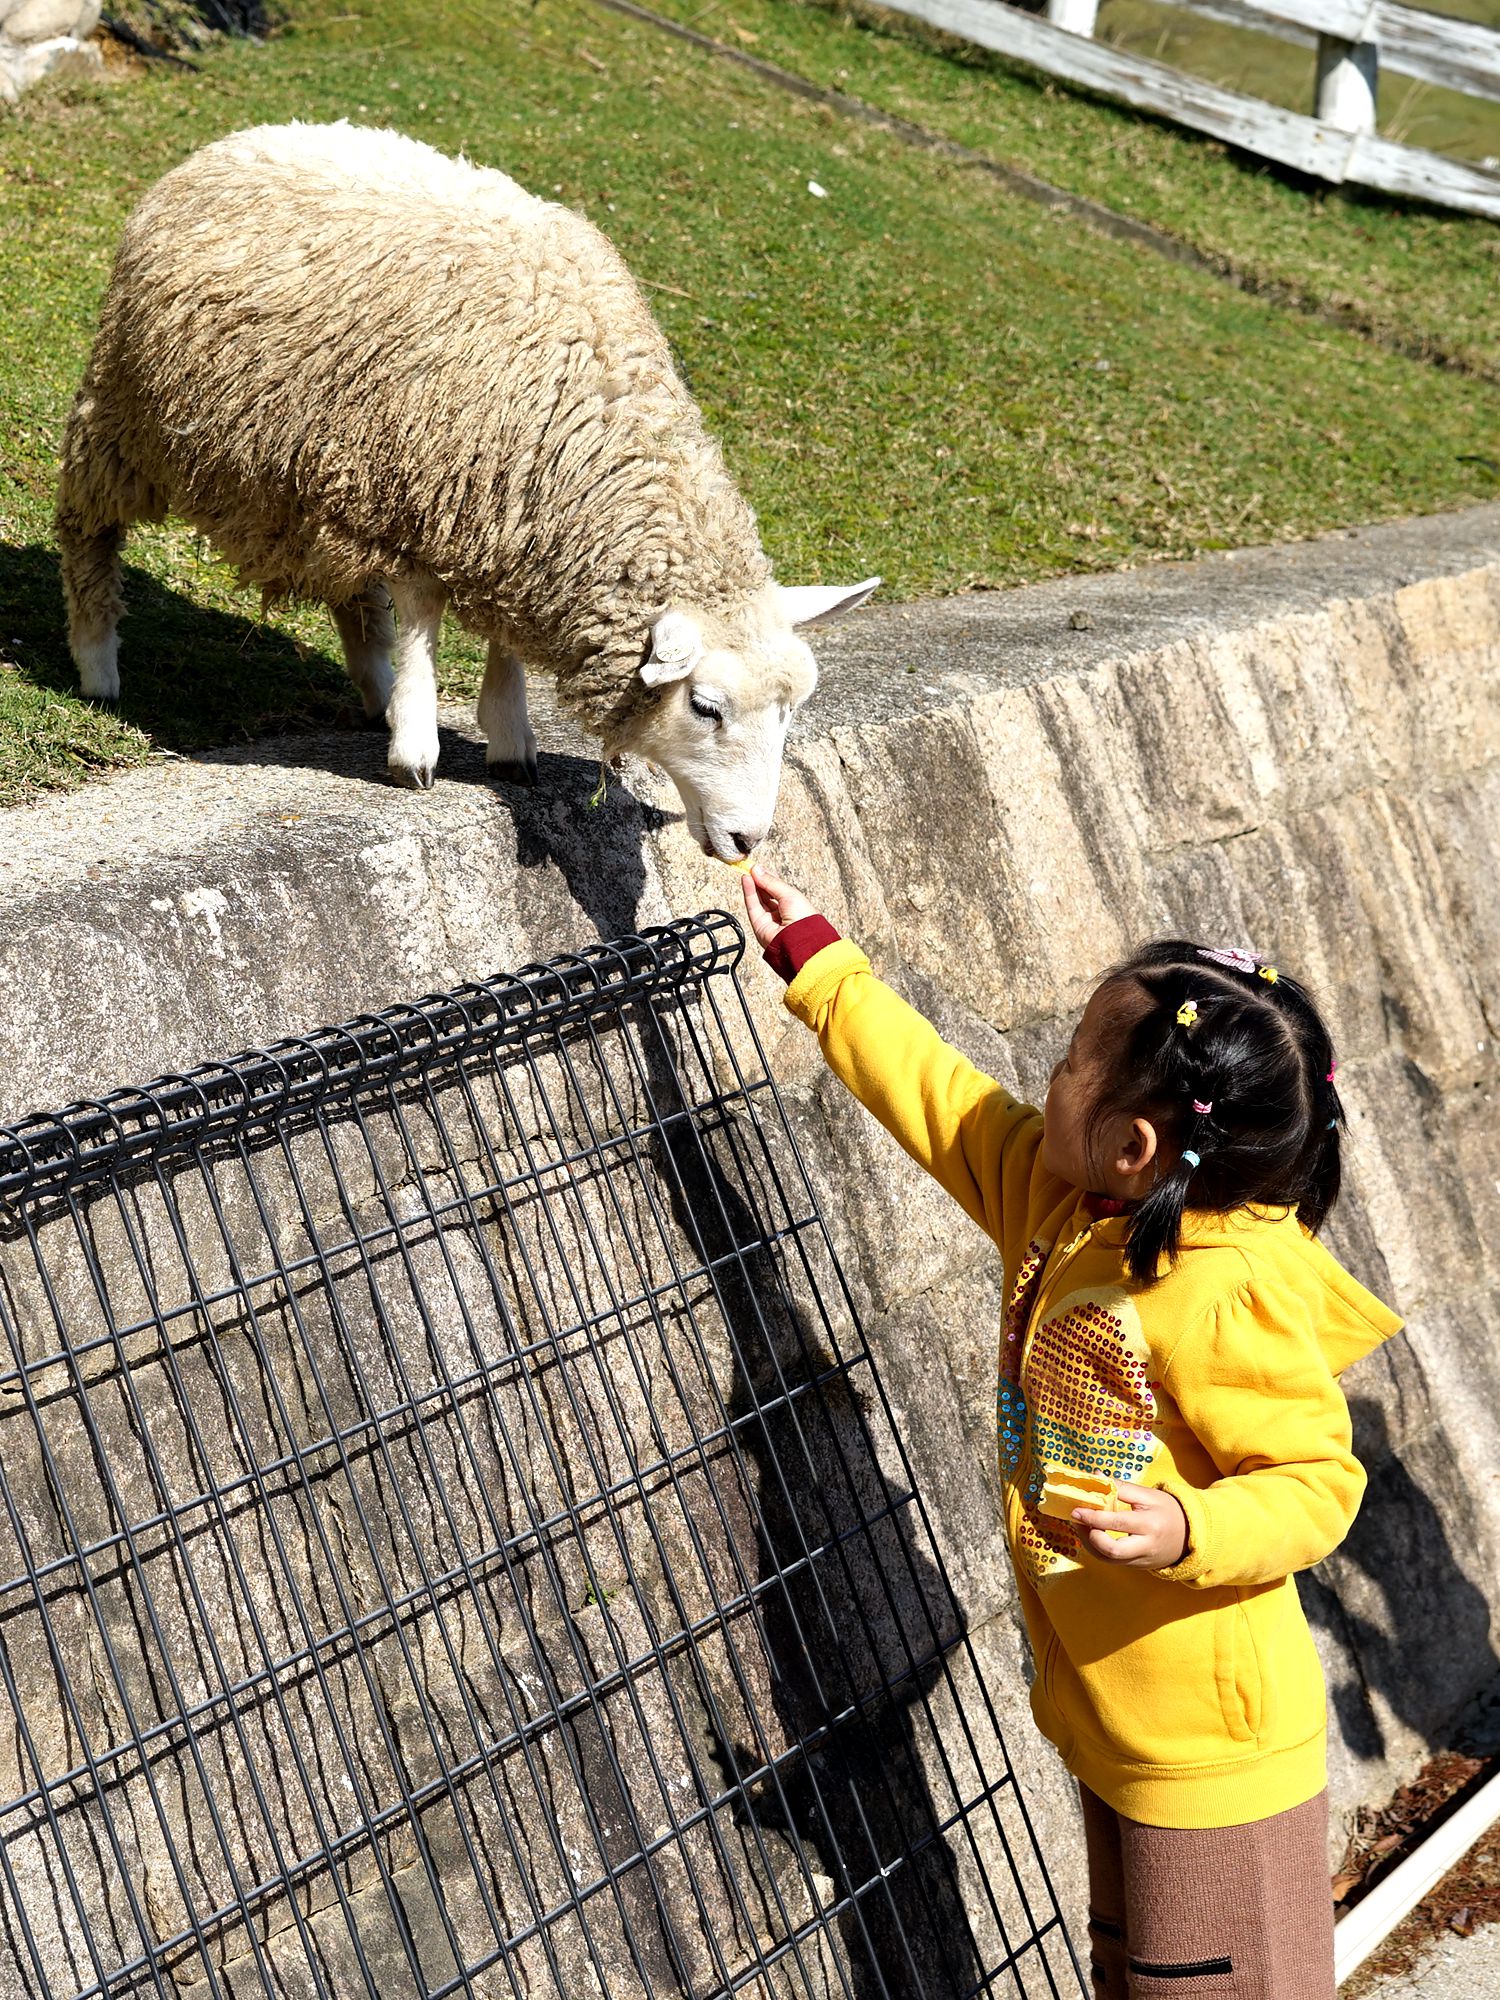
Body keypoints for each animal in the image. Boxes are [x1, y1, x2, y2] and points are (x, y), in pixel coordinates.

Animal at [58, 117, 880, 852]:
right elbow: (424, 613)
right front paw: (417, 748)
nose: (748, 840)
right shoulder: (424, 493)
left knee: (352, 591)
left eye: (792, 709)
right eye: (706, 707)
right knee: (86, 525)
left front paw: (508, 734)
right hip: (128, 412)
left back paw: (373, 687)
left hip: (329, 472)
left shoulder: (499, 520)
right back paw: (98, 662)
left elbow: (500, 634)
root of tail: (247, 136)